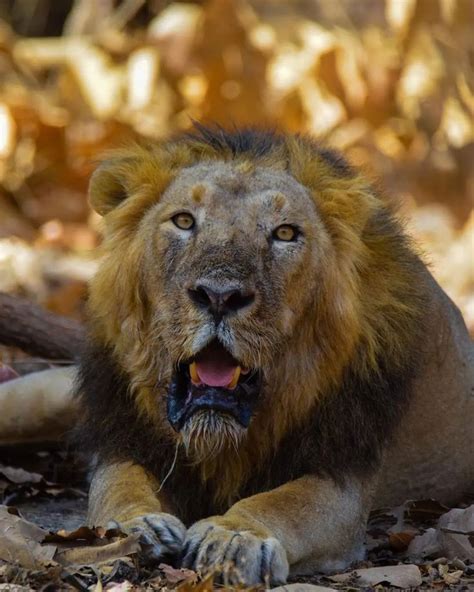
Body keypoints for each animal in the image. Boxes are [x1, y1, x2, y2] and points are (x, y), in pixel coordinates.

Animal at [75, 123, 474, 584]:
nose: (219, 295)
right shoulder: (121, 438)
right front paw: (133, 529)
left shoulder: (343, 473)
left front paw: (233, 537)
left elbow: (283, 504)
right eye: (183, 221)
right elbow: (116, 486)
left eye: (285, 233)